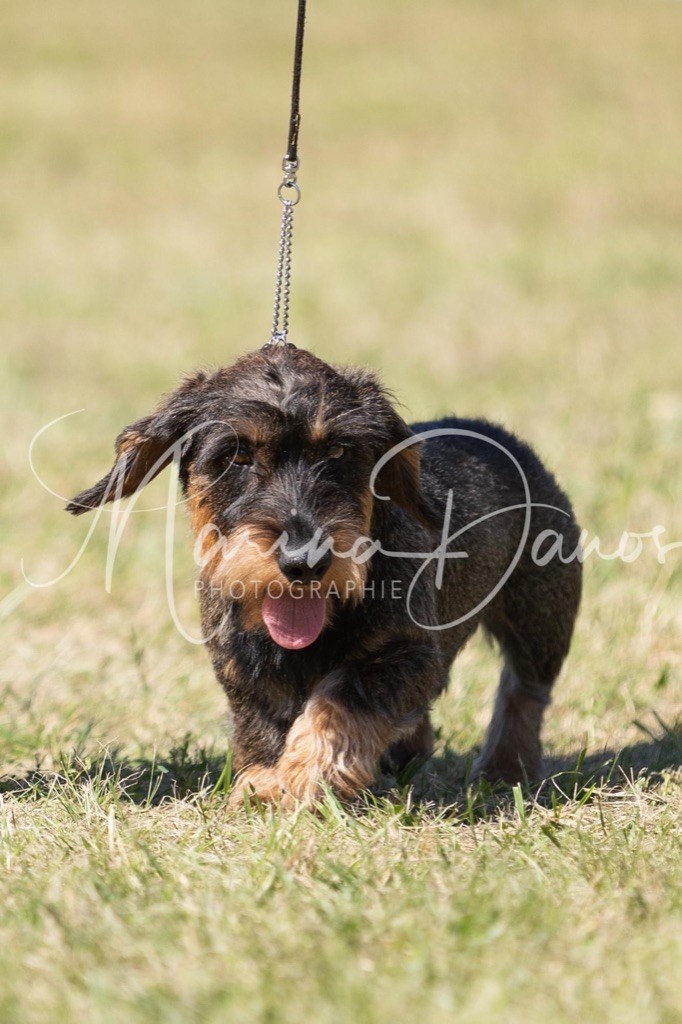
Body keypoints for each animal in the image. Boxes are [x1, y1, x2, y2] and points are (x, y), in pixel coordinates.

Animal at [67, 343, 582, 808]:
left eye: (337, 451)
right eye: (235, 456)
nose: (304, 561)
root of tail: (493, 432)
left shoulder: (411, 654)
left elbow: (342, 699)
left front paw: (307, 772)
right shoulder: (240, 665)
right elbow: (261, 722)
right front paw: (264, 782)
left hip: (542, 617)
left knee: (524, 692)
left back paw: (506, 768)